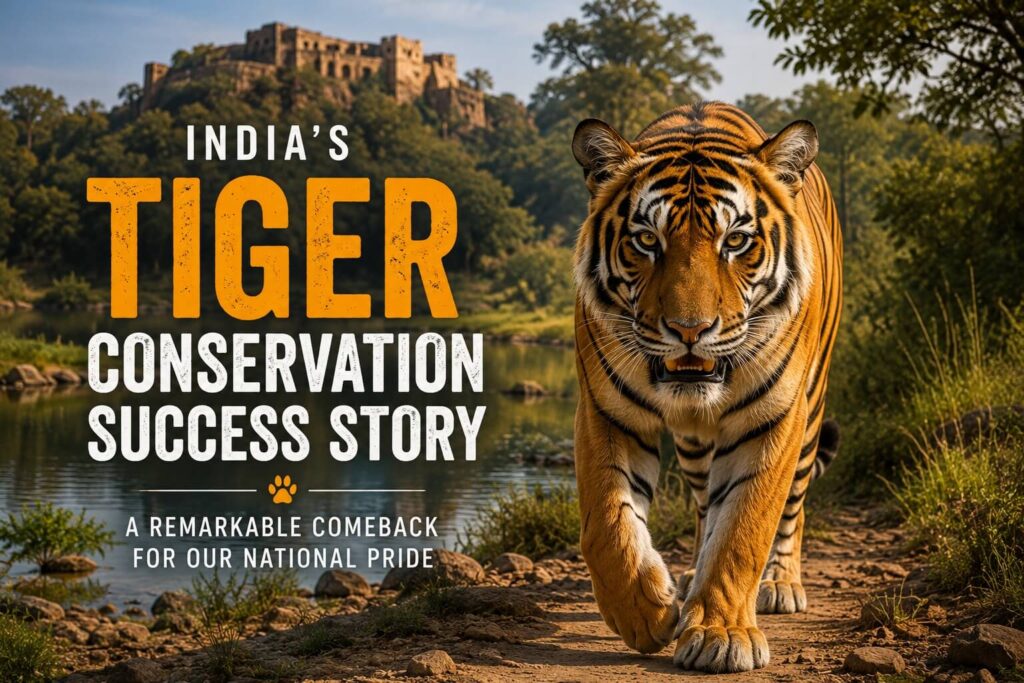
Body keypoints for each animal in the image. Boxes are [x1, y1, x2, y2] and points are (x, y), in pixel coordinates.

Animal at [571, 101, 842, 673]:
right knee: (703, 508)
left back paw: (781, 584)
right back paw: (692, 576)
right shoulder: (605, 410)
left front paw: (722, 635)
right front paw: (644, 613)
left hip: (811, 413)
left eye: (735, 241)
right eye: (647, 241)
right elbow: (607, 523)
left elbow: (745, 527)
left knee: (793, 506)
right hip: (694, 445)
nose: (690, 330)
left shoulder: (775, 418)